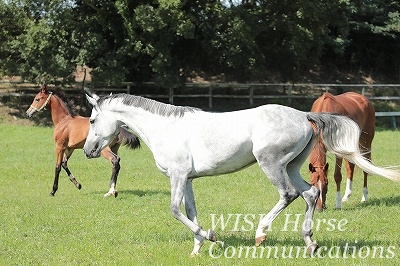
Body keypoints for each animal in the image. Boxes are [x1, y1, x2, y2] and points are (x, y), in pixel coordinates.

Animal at [83, 93, 398, 256]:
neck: (166, 128)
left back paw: (261, 234)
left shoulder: (177, 176)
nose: (88, 151)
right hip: (291, 166)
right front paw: (198, 248)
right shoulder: (188, 180)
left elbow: (175, 210)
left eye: (93, 119)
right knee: (310, 193)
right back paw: (309, 242)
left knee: (289, 194)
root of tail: (304, 115)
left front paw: (212, 237)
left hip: (271, 164)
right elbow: (190, 211)